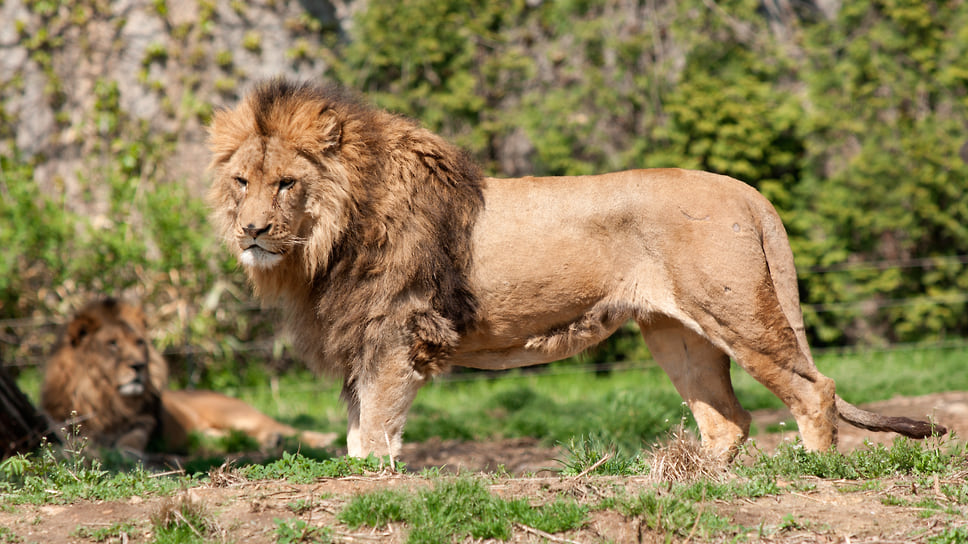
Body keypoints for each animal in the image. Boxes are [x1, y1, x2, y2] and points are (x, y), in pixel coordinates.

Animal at [40, 300, 336, 452]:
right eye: (112, 344)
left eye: (139, 342)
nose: (139, 366)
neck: (105, 397)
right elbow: (80, 441)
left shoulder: (145, 423)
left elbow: (131, 439)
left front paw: (126, 451)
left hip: (236, 414)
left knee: (282, 428)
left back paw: (320, 438)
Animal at [206, 78, 944, 462]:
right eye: (242, 182)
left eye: (286, 184)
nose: (252, 231)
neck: (321, 246)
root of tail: (745, 190)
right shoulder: (360, 338)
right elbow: (359, 428)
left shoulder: (397, 333)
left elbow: (377, 430)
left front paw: (376, 481)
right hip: (679, 335)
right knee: (729, 419)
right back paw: (698, 482)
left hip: (736, 312)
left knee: (813, 390)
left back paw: (807, 471)